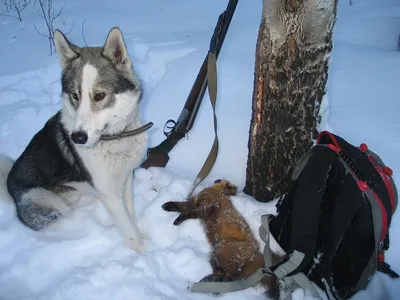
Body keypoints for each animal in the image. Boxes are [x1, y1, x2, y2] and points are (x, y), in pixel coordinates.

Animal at [0, 26, 147, 253]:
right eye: (74, 95)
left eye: (99, 96)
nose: (77, 138)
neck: (115, 138)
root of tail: (8, 182)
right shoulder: (109, 194)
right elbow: (129, 231)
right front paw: (143, 254)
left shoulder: (126, 179)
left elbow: (131, 216)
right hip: (51, 205)